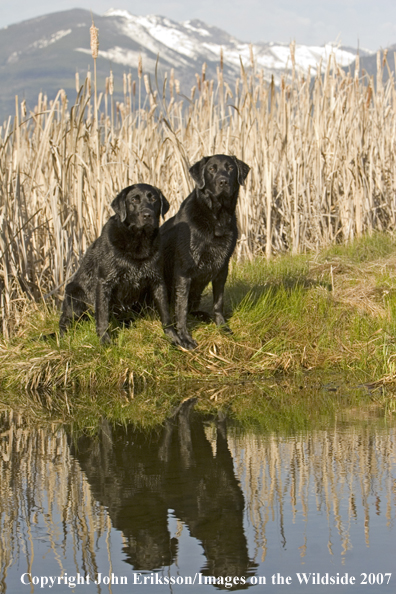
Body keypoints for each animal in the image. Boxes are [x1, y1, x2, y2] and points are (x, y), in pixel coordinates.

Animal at [60, 183, 186, 344]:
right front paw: (105, 341)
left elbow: (165, 313)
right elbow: (102, 316)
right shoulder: (104, 282)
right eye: (134, 200)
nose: (147, 215)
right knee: (65, 322)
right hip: (73, 293)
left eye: (154, 199)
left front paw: (174, 337)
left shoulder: (157, 281)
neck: (138, 242)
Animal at [160, 154, 248, 346]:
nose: (223, 181)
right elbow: (181, 308)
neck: (217, 217)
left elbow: (218, 302)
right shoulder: (184, 271)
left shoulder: (222, 267)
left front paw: (222, 326)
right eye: (211, 169)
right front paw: (184, 337)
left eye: (230, 168)